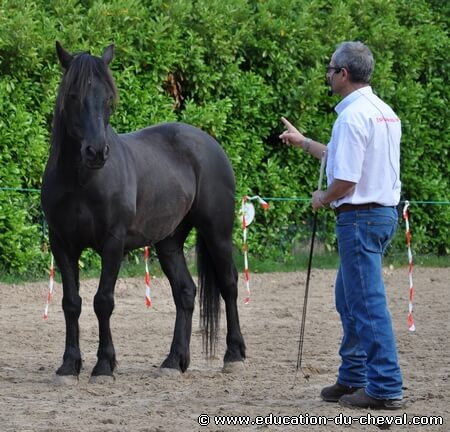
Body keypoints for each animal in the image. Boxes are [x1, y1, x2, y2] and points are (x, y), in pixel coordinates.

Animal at [41, 42, 246, 382]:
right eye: (72, 96)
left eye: (108, 98)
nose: (96, 152)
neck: (82, 181)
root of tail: (208, 142)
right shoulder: (62, 245)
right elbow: (71, 303)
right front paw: (69, 366)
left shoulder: (113, 243)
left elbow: (103, 301)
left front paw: (104, 365)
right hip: (169, 242)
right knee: (185, 292)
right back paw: (174, 361)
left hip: (217, 232)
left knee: (228, 284)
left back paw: (234, 355)